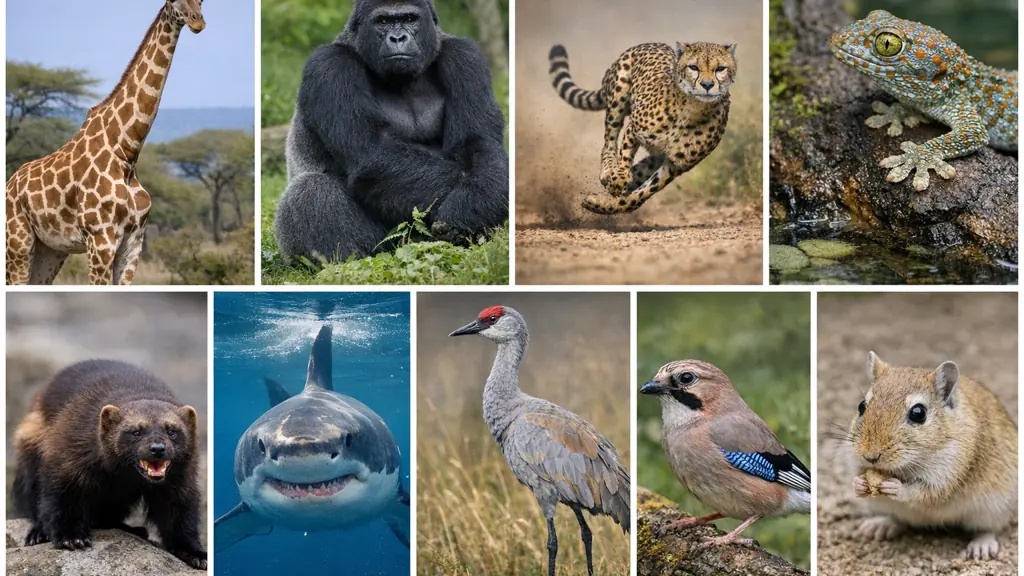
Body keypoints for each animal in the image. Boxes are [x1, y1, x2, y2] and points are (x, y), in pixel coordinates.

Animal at [5, 0, 206, 285]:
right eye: (174, 2)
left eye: (202, 2)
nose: (198, 22)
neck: (126, 151)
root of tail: (9, 185)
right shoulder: (100, 239)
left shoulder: (134, 242)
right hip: (18, 242)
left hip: (50, 250)